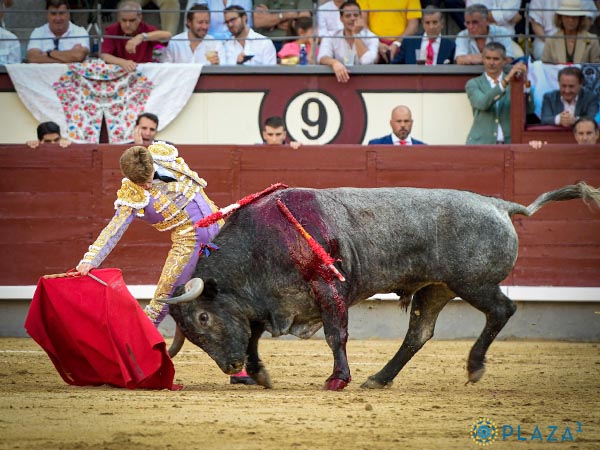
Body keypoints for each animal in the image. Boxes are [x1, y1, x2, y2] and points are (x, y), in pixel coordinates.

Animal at [159, 183, 600, 390]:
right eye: (192, 334)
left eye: (203, 317)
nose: (229, 367)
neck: (262, 243)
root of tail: (499, 205)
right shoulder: (264, 303)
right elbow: (252, 334)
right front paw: (258, 373)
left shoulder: (328, 288)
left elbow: (335, 334)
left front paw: (337, 379)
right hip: (436, 289)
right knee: (419, 333)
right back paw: (381, 378)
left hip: (474, 283)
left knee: (502, 310)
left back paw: (474, 366)